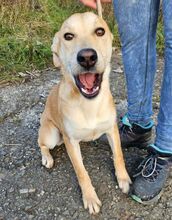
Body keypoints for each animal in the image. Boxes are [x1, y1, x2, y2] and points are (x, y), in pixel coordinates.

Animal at [38, 12, 131, 215]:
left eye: (100, 31)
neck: (89, 104)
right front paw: (90, 198)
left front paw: (123, 178)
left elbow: (119, 155)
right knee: (41, 144)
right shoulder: (71, 142)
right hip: (52, 135)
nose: (87, 57)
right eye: (68, 36)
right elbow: (81, 172)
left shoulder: (112, 129)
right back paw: (47, 158)